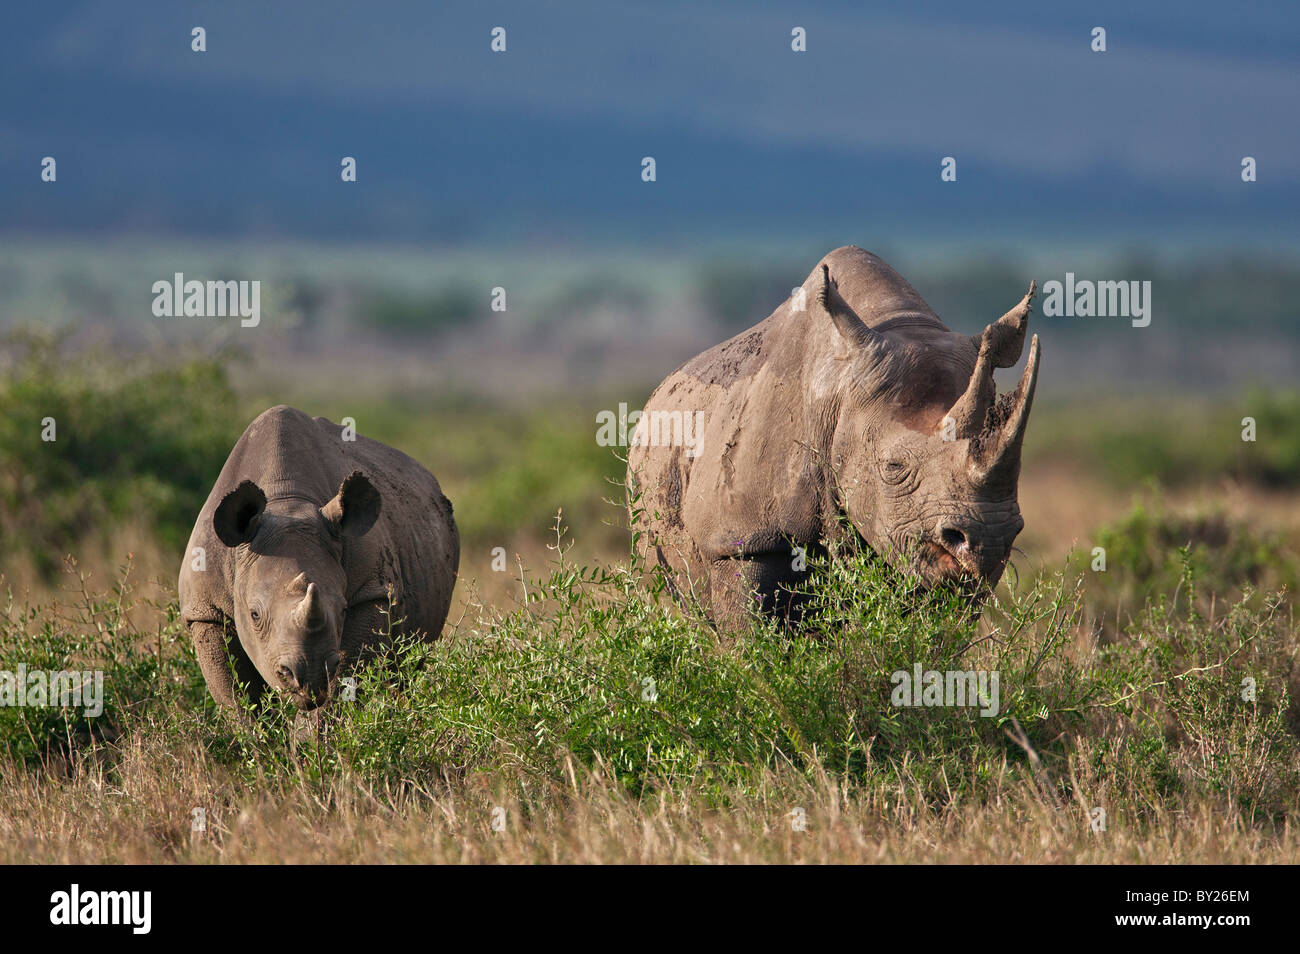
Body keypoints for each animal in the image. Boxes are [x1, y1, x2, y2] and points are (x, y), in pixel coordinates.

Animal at [179, 405, 459, 709]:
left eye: (343, 609)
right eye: (254, 614)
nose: (308, 679)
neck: (285, 500)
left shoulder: (369, 593)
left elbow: (343, 687)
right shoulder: (205, 610)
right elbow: (237, 697)